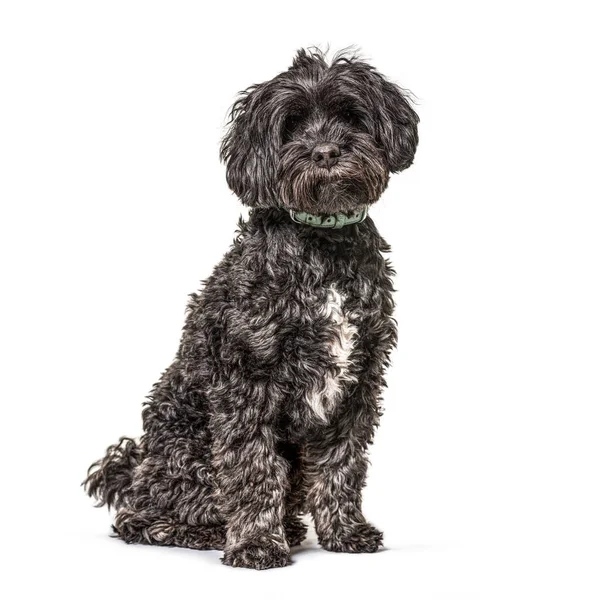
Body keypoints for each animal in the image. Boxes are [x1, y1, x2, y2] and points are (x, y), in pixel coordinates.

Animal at [85, 49, 420, 568]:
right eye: (291, 125)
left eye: (350, 115)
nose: (325, 152)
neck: (321, 242)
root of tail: (136, 467)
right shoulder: (247, 379)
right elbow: (252, 467)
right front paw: (256, 544)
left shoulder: (360, 380)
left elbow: (342, 465)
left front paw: (345, 532)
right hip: (186, 451)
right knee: (139, 519)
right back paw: (203, 532)